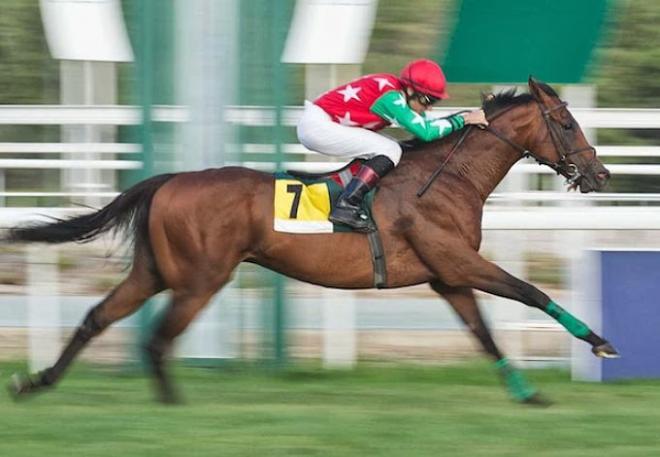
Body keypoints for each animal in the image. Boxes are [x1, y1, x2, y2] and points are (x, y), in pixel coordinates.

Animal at [6, 77, 620, 402]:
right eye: (567, 123)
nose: (600, 174)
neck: (445, 180)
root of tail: (169, 180)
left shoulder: (447, 276)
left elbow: (485, 334)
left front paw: (528, 393)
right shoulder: (459, 262)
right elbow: (531, 293)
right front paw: (599, 343)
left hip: (156, 270)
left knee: (98, 317)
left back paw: (36, 382)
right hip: (200, 277)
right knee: (157, 339)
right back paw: (171, 406)